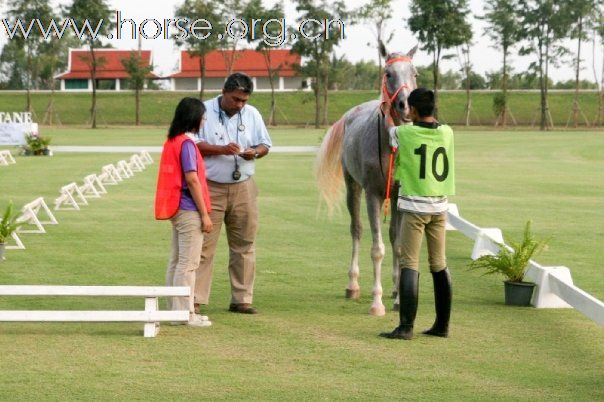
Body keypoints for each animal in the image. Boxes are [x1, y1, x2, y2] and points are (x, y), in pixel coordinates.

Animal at [316, 43, 416, 314]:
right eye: (388, 73)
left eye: (415, 73)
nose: (405, 105)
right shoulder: (373, 195)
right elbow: (377, 249)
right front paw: (377, 302)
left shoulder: (399, 196)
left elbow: (399, 245)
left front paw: (399, 299)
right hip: (353, 187)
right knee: (357, 230)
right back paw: (353, 285)